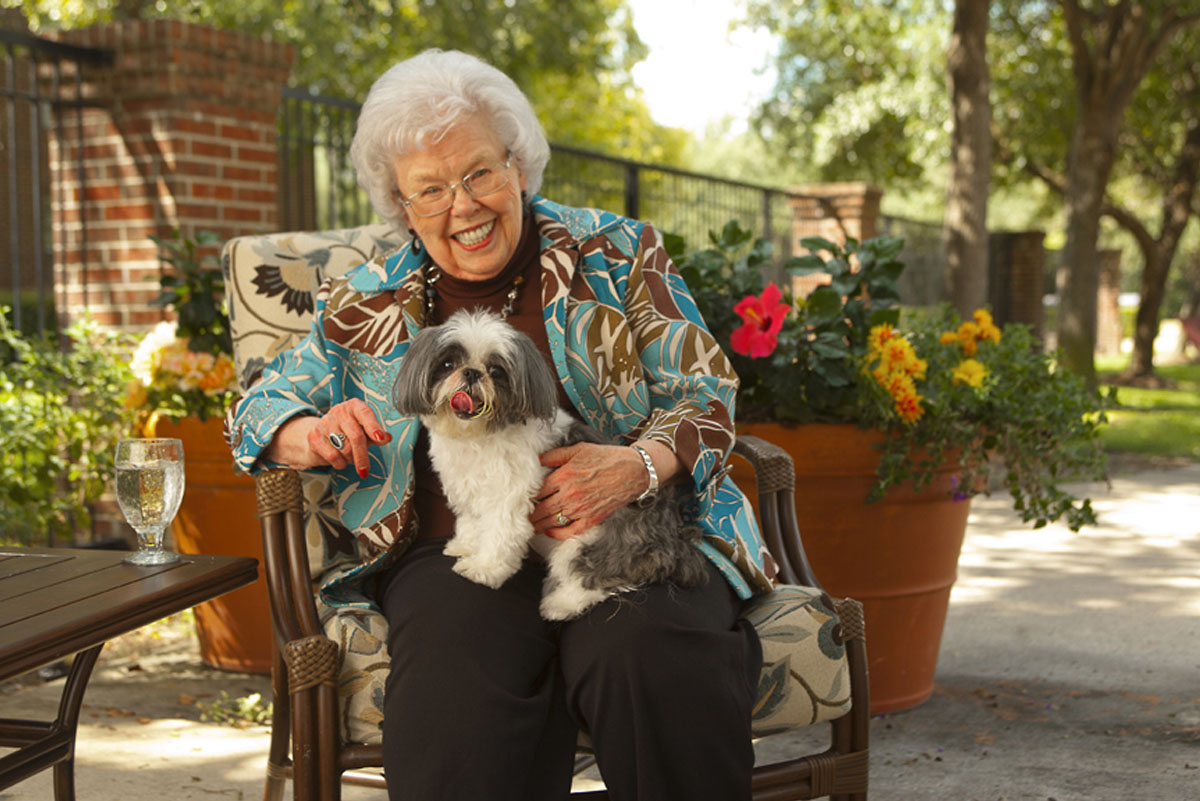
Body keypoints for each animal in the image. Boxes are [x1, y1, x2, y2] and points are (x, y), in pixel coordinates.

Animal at [393, 306, 705, 618]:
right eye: (447, 364)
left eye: (496, 371)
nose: (471, 372)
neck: (477, 438)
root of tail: (670, 541)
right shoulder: (468, 489)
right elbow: (472, 522)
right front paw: (465, 546)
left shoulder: (508, 496)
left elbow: (499, 533)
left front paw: (483, 568)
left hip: (593, 543)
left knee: (593, 576)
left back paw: (561, 603)